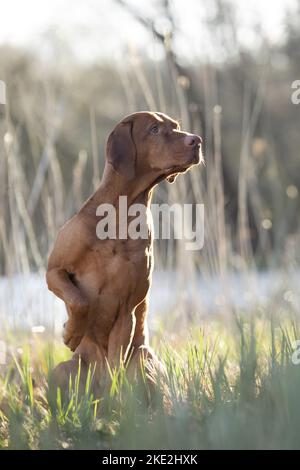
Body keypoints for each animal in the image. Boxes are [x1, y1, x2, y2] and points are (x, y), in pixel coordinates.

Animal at [46, 112, 202, 392]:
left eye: (176, 126)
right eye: (154, 129)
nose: (197, 140)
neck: (119, 217)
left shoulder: (126, 312)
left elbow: (115, 367)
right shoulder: (54, 270)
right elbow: (79, 300)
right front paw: (70, 331)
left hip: (144, 360)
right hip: (62, 370)